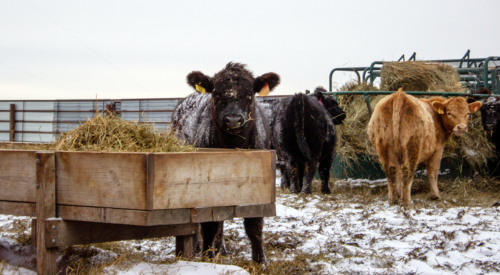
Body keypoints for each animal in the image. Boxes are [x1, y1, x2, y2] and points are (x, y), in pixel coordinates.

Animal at [172, 61, 282, 264]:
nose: (233, 119)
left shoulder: (259, 188)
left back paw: (221, 249)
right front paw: (207, 256)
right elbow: (209, 226)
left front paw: (260, 260)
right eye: (216, 93)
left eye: (250, 93)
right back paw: (199, 247)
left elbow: (254, 225)